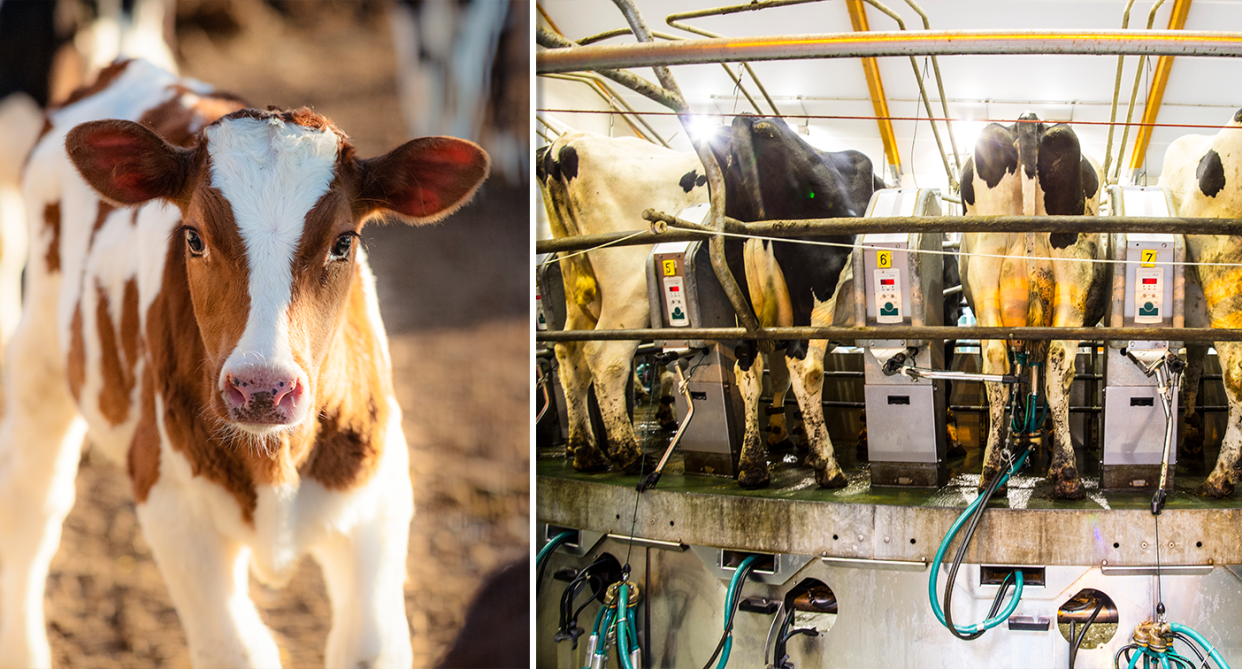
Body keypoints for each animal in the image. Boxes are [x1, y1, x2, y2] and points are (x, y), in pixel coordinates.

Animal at [0, 58, 489, 669]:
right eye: (193, 237)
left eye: (343, 243)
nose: (262, 387)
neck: (275, 460)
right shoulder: (172, 509)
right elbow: (238, 648)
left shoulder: (378, 504)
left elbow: (368, 645)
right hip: (39, 355)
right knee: (31, 505)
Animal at [536, 133, 710, 474]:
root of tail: (567, 142)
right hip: (629, 291)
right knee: (605, 357)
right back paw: (627, 452)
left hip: (579, 290)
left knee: (570, 352)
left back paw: (586, 451)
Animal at [705, 117, 889, 489]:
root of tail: (753, 120)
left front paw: (797, 439)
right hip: (819, 289)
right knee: (806, 369)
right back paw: (829, 468)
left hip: (742, 298)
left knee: (747, 368)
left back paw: (752, 465)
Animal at [953, 115, 1102, 498]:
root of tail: (1029, 120)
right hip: (1072, 272)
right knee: (1057, 363)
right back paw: (1065, 473)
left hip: (986, 267)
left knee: (998, 361)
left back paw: (993, 471)